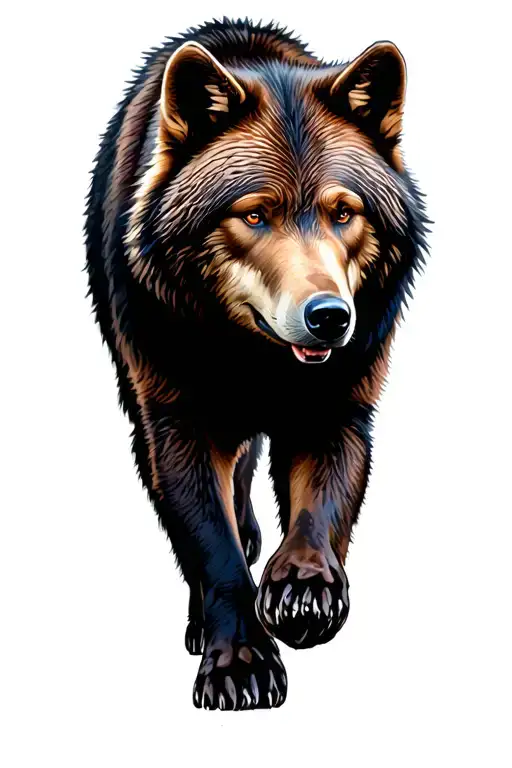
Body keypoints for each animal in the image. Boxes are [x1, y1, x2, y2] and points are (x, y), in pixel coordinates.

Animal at [85, 16, 428, 711]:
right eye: (254, 214)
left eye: (343, 212)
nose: (331, 317)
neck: (258, 363)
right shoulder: (177, 424)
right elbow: (214, 549)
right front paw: (238, 659)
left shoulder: (339, 410)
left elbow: (321, 510)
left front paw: (304, 587)